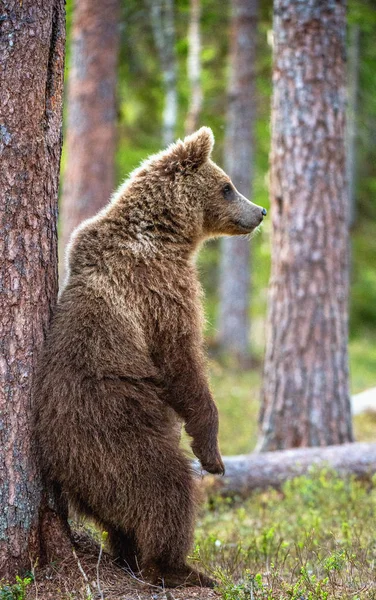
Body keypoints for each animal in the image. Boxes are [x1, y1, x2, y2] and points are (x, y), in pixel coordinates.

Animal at [33, 125, 266, 584]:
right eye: (228, 186)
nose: (261, 211)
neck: (166, 235)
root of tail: (62, 468)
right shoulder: (160, 290)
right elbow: (182, 362)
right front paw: (213, 456)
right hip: (115, 437)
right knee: (165, 489)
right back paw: (179, 568)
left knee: (123, 516)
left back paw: (128, 555)